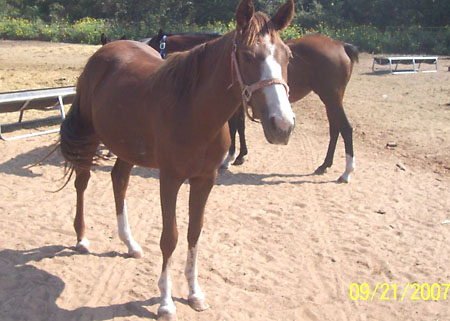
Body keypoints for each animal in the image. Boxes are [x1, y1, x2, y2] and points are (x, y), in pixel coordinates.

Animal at [59, 1, 296, 318]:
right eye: (247, 55)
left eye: (287, 56)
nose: (282, 125)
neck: (193, 109)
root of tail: (103, 52)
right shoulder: (170, 178)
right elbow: (169, 237)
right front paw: (166, 302)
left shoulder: (205, 179)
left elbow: (194, 232)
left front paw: (195, 293)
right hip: (89, 134)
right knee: (82, 181)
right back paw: (82, 238)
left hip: (126, 147)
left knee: (119, 180)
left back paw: (130, 243)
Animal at [149, 33, 360, 182]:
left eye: (153, 46)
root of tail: (341, 45)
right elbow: (239, 127)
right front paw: (239, 156)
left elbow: (235, 127)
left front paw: (231, 158)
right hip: (330, 100)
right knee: (335, 129)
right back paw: (324, 165)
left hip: (331, 98)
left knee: (346, 129)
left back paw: (346, 172)